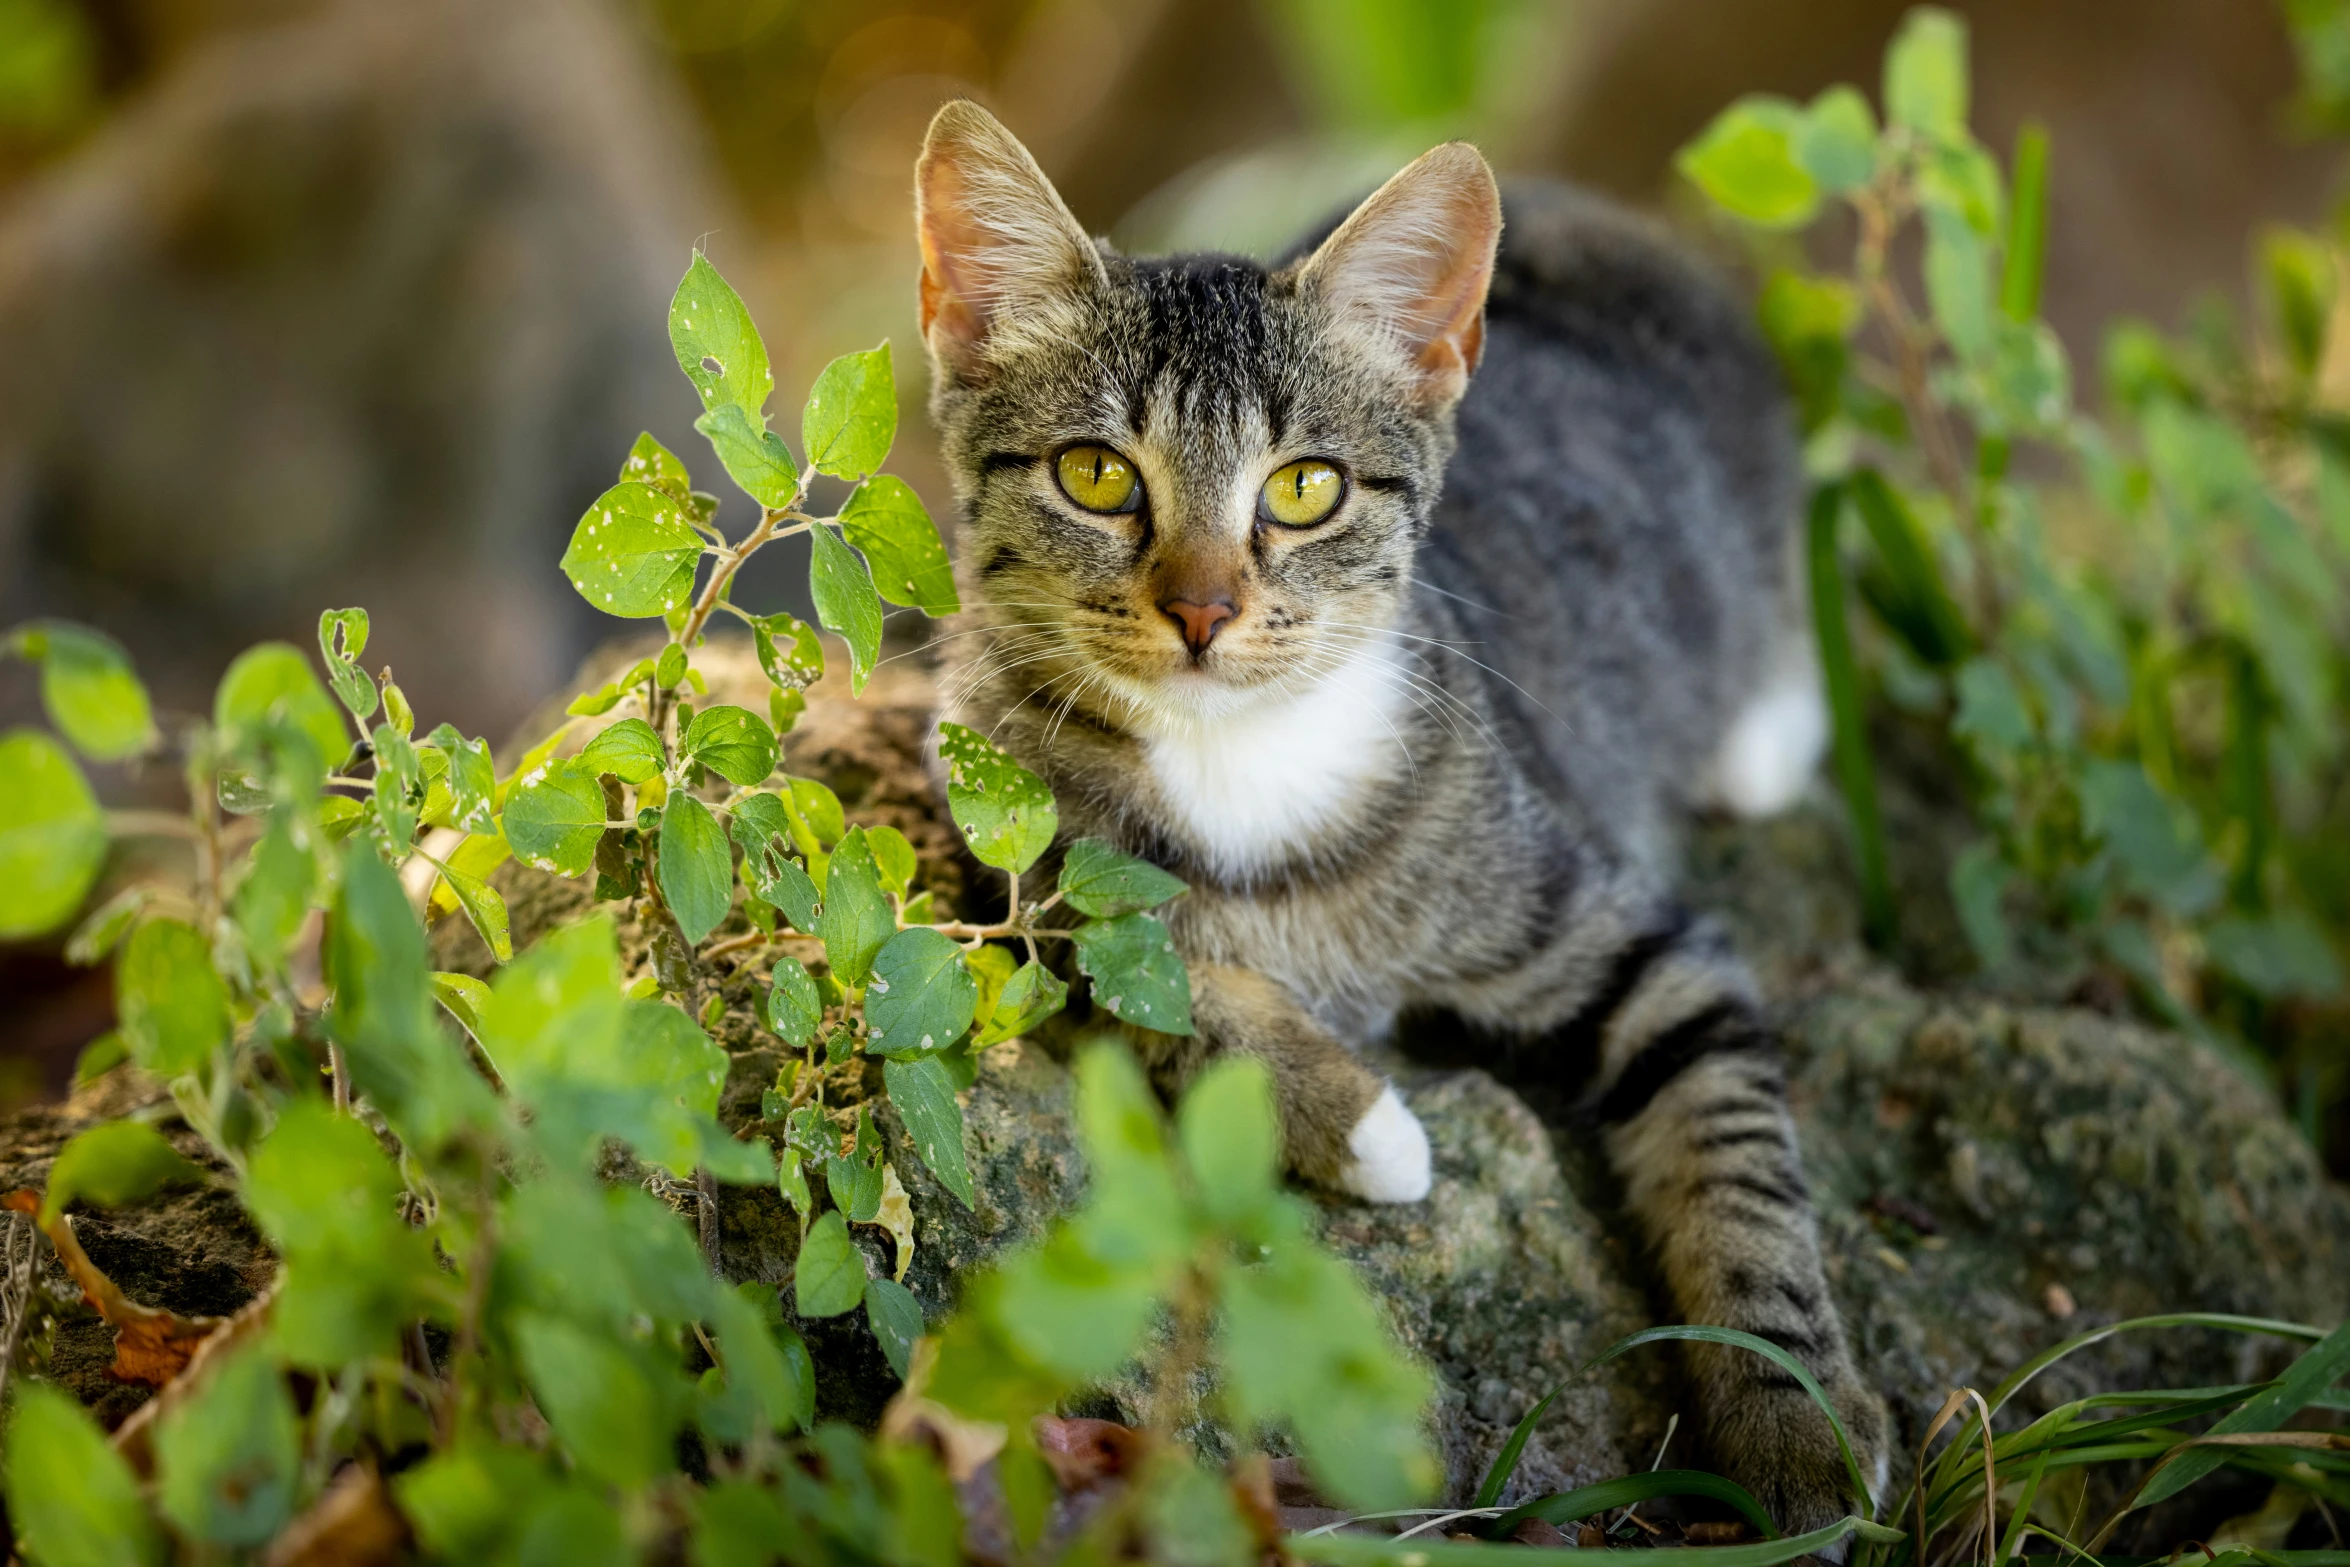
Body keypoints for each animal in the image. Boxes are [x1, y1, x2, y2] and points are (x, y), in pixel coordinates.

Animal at [907, 103, 1879, 1541]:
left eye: (1304, 489)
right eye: (1093, 474)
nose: (1201, 609)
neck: (1242, 757)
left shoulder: (1643, 942)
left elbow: (1737, 1162)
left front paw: (1791, 1424)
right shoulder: (1003, 849)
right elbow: (1142, 975)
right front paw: (1365, 1123)